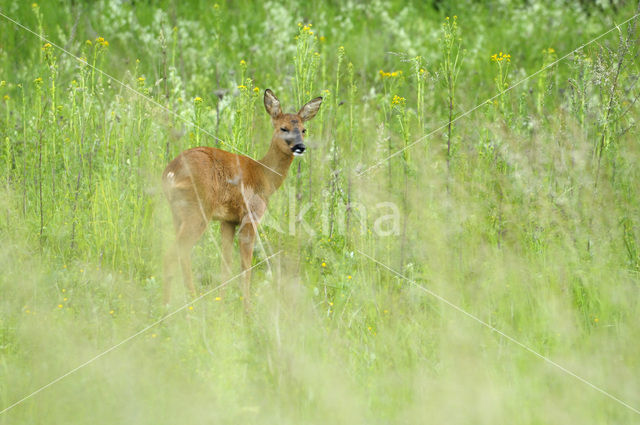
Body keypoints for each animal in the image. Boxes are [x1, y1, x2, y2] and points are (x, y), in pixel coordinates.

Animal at [162, 89, 322, 308]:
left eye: (304, 129)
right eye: (284, 128)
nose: (300, 147)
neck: (264, 175)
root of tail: (171, 172)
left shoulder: (228, 220)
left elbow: (226, 262)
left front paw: (222, 303)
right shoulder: (251, 215)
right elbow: (246, 265)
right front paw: (247, 308)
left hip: (177, 213)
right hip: (197, 210)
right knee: (175, 253)